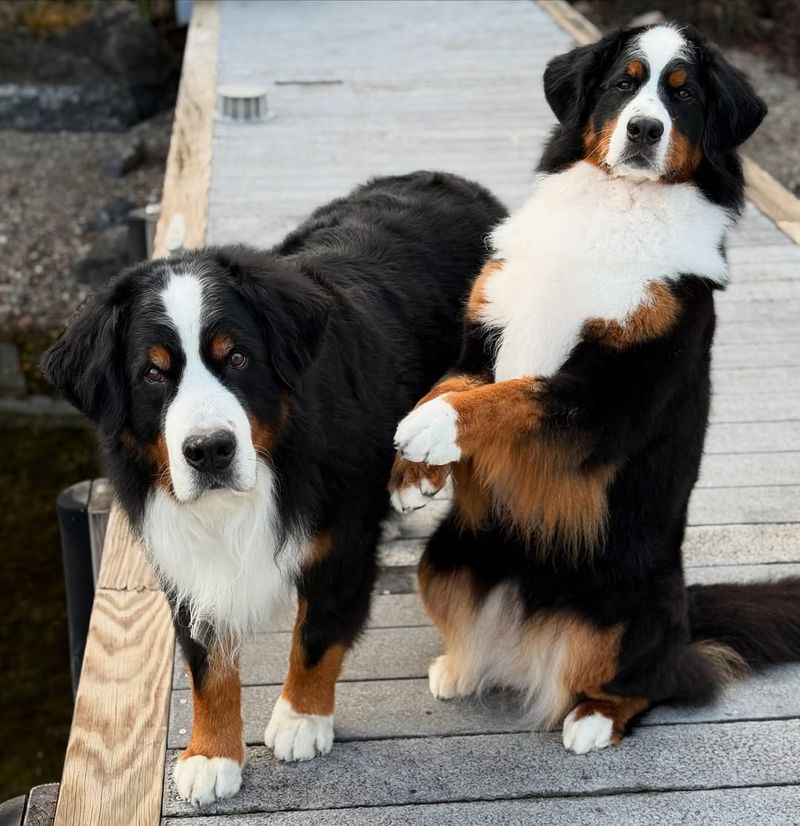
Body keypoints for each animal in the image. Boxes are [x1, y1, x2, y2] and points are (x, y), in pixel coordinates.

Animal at [40, 171, 504, 800]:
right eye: (153, 373)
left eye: (237, 357)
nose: (209, 449)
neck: (269, 460)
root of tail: (455, 181)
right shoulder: (182, 551)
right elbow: (207, 660)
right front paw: (211, 753)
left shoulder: (341, 541)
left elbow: (316, 633)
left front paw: (300, 719)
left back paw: (418, 467)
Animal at [388, 22, 800, 752]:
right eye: (622, 84)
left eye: (684, 94)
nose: (643, 128)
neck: (615, 208)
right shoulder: (481, 340)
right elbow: (450, 385)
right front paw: (414, 472)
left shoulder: (609, 395)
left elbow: (510, 398)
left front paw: (433, 433)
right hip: (444, 560)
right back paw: (461, 666)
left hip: (628, 615)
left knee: (661, 682)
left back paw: (592, 720)